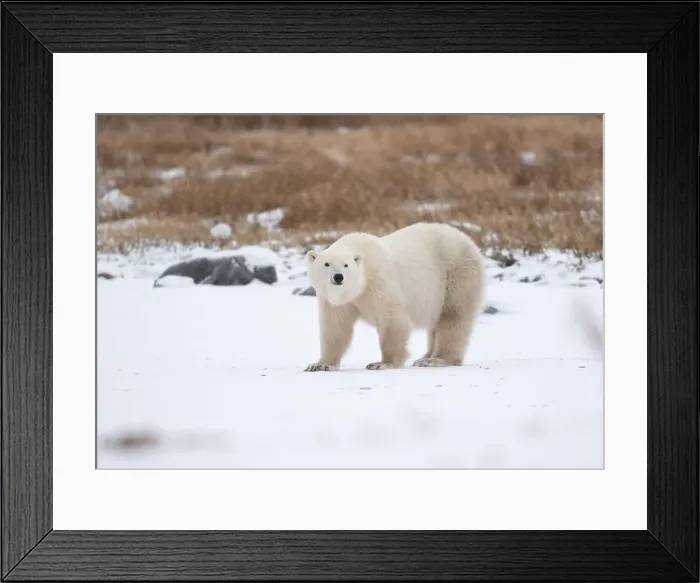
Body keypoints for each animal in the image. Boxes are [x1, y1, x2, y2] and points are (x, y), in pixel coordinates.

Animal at [304, 222, 486, 372]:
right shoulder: (336, 301)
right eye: (326, 264)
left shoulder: (378, 280)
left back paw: (436, 359)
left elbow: (392, 318)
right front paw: (320, 364)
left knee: (453, 316)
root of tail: (471, 243)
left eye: (346, 265)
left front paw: (383, 363)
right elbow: (336, 327)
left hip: (456, 273)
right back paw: (425, 356)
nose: (338, 277)